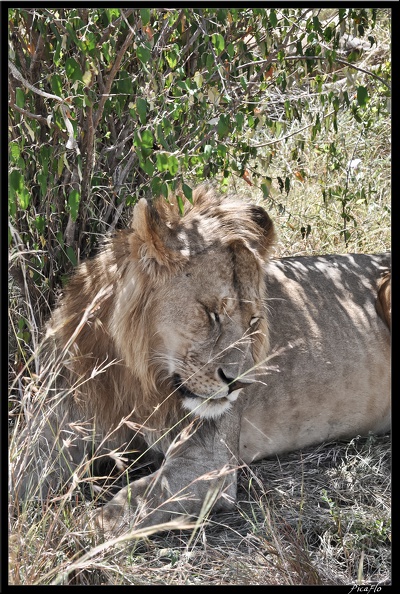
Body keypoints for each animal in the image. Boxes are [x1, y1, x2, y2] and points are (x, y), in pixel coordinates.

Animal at [13, 184, 390, 532]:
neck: (137, 378)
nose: (239, 383)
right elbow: (21, 474)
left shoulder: (208, 465)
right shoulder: (56, 427)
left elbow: (123, 508)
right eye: (211, 314)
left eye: (254, 320)